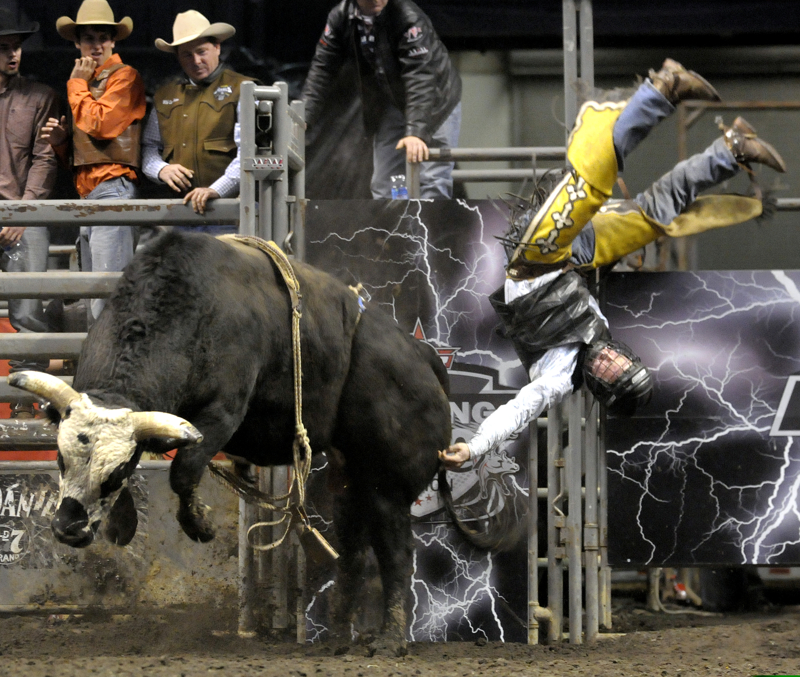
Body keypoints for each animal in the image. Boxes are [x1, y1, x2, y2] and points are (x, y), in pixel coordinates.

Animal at [9, 230, 468, 652]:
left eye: (114, 472)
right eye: (61, 459)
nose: (67, 528)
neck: (187, 312)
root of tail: (424, 358)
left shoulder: (222, 415)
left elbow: (183, 469)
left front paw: (200, 523)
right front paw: (122, 523)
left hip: (389, 486)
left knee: (395, 554)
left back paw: (390, 638)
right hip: (351, 479)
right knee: (353, 549)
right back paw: (338, 637)